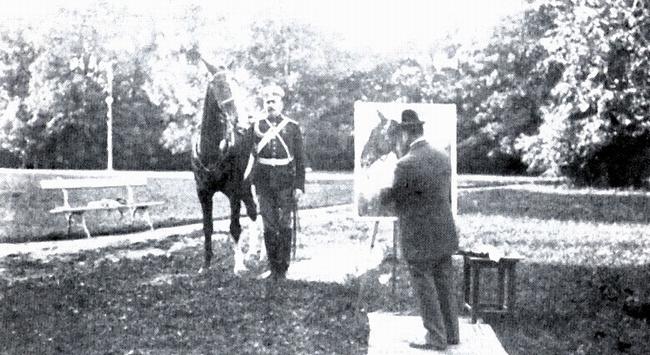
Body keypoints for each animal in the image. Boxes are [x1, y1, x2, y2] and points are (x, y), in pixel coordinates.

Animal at [190, 60, 256, 272]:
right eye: (220, 85)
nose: (243, 123)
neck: (211, 152)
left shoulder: (234, 191)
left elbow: (234, 227)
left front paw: (239, 266)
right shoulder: (203, 192)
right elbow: (207, 227)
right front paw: (205, 265)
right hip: (246, 188)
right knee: (253, 211)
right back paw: (253, 253)